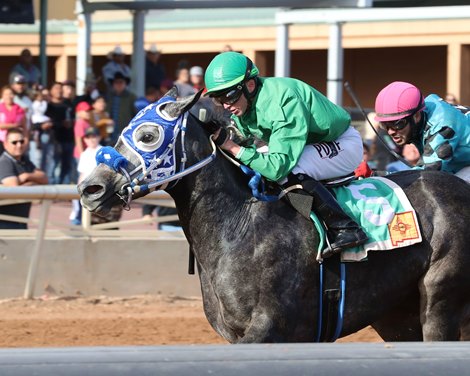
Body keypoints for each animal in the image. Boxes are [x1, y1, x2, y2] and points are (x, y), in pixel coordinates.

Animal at [79, 89, 470, 342]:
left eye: (148, 135)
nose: (90, 188)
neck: (239, 228)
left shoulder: (269, 327)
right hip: (397, 316)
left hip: (439, 302)